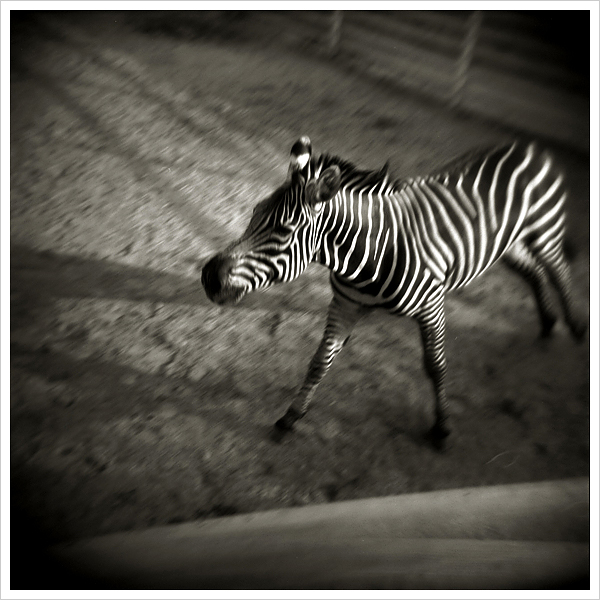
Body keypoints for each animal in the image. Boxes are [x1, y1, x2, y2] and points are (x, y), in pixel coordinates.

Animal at [201, 136, 586, 447]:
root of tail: (526, 145)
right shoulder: (345, 304)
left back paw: (576, 327)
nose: (209, 278)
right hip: (505, 243)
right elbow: (319, 362)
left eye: (284, 229)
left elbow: (436, 365)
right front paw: (290, 418)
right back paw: (549, 322)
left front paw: (442, 428)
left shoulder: (432, 305)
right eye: (254, 213)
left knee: (558, 270)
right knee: (535, 272)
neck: (368, 255)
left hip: (544, 229)